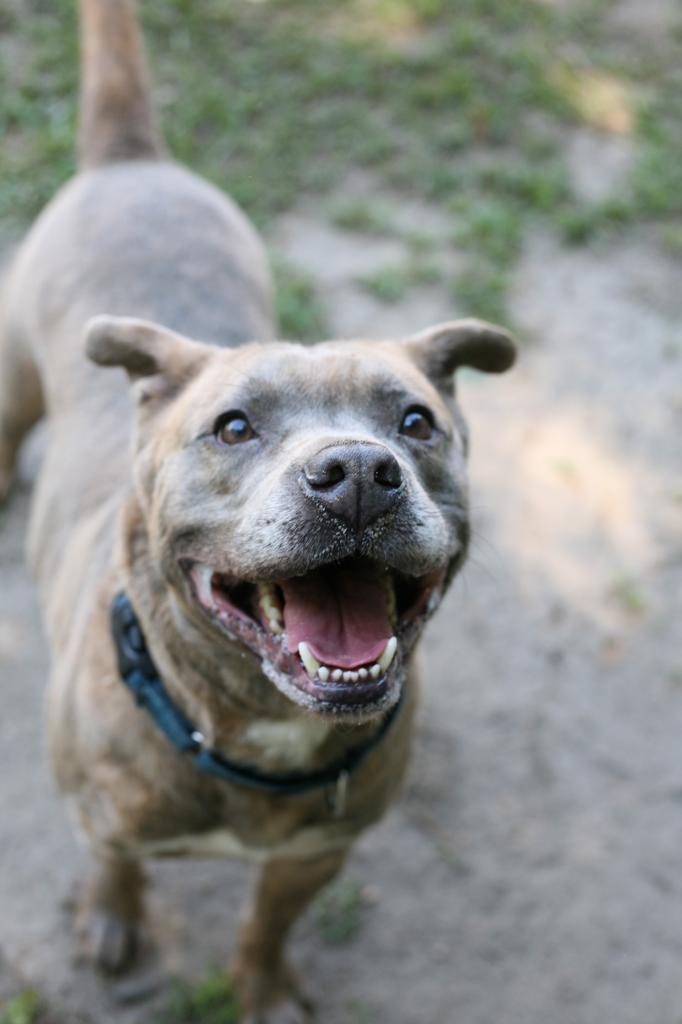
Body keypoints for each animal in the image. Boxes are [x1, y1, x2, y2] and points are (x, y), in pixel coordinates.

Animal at [0, 4, 512, 1019]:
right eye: (233, 426)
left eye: (415, 422)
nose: (358, 472)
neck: (255, 730)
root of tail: (132, 161)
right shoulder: (101, 819)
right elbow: (118, 869)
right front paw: (113, 923)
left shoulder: (315, 856)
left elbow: (267, 928)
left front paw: (263, 990)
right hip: (11, 375)